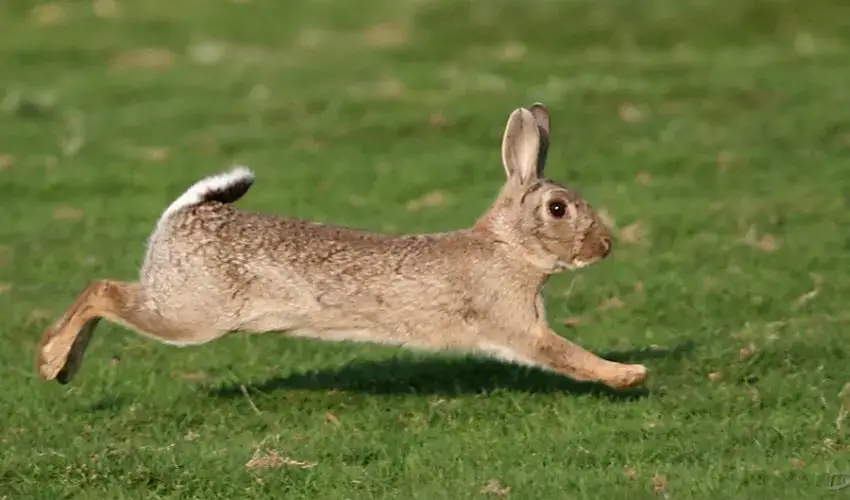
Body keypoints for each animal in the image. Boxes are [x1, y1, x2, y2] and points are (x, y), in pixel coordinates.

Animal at [31, 102, 644, 390]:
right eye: (558, 209)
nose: (606, 245)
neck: (508, 247)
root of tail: (186, 216)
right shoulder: (516, 327)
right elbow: (565, 355)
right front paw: (630, 376)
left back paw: (59, 367)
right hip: (192, 314)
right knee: (103, 291)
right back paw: (52, 362)